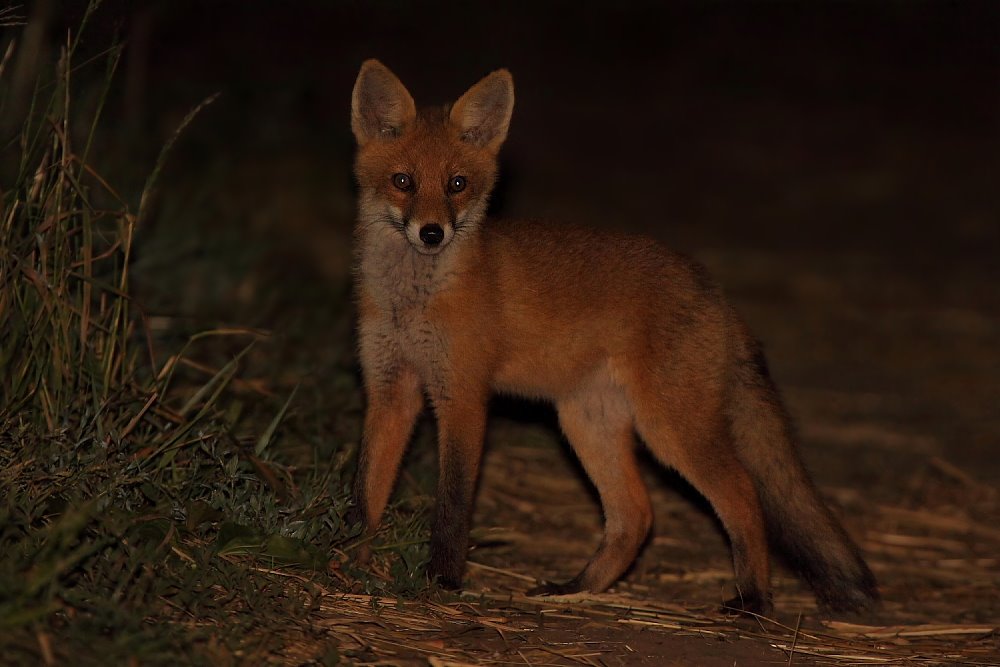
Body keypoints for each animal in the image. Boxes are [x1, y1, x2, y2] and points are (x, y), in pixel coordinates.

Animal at [348, 60, 880, 612]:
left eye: (457, 184)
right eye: (403, 181)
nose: (432, 233)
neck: (412, 301)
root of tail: (714, 291)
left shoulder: (463, 396)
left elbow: (452, 505)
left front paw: (443, 580)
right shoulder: (390, 389)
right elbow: (365, 493)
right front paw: (346, 562)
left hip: (669, 429)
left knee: (741, 493)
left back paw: (753, 599)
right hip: (587, 423)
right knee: (637, 516)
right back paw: (578, 588)